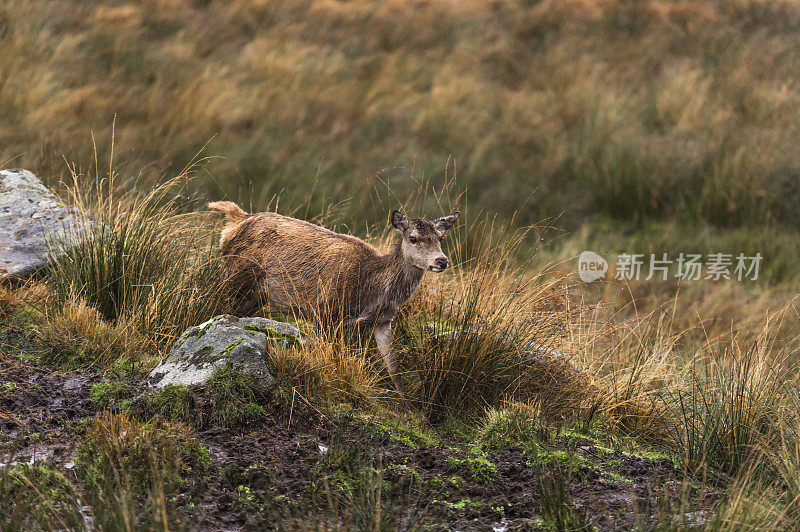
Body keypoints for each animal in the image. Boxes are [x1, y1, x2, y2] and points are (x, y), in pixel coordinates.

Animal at [208, 202, 456, 402]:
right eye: (413, 238)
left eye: (440, 238)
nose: (442, 261)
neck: (371, 290)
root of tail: (235, 219)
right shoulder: (324, 311)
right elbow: (328, 356)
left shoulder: (383, 321)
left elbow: (394, 368)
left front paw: (410, 407)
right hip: (237, 273)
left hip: (256, 294)